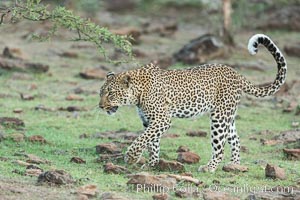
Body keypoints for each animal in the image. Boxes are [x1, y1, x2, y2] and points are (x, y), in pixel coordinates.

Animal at [98, 34, 286, 172]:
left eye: (111, 93)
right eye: (101, 93)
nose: (100, 106)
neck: (138, 92)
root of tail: (236, 73)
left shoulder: (162, 119)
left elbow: (143, 139)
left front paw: (131, 157)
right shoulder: (149, 121)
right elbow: (152, 142)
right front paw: (152, 163)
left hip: (219, 117)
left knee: (220, 147)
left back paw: (209, 168)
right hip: (228, 116)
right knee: (235, 140)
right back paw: (234, 165)